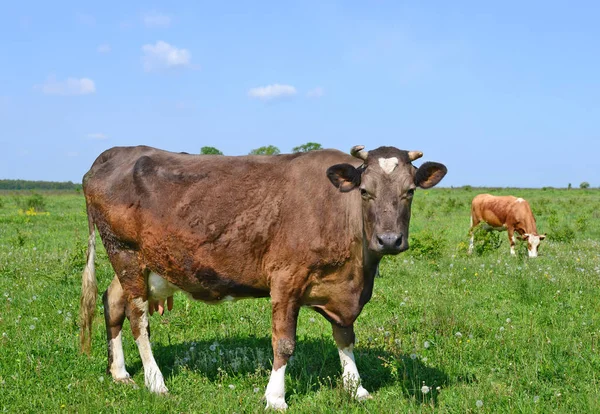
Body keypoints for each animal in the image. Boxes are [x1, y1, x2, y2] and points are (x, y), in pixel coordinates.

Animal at [78, 144, 446, 410]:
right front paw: (275, 397)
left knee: (113, 302)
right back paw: (156, 383)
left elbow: (345, 337)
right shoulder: (286, 279)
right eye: (365, 192)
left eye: (410, 191)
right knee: (138, 319)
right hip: (125, 253)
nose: (389, 239)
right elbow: (283, 343)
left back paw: (120, 372)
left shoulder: (342, 290)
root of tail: (114, 152)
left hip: (141, 265)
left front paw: (356, 388)